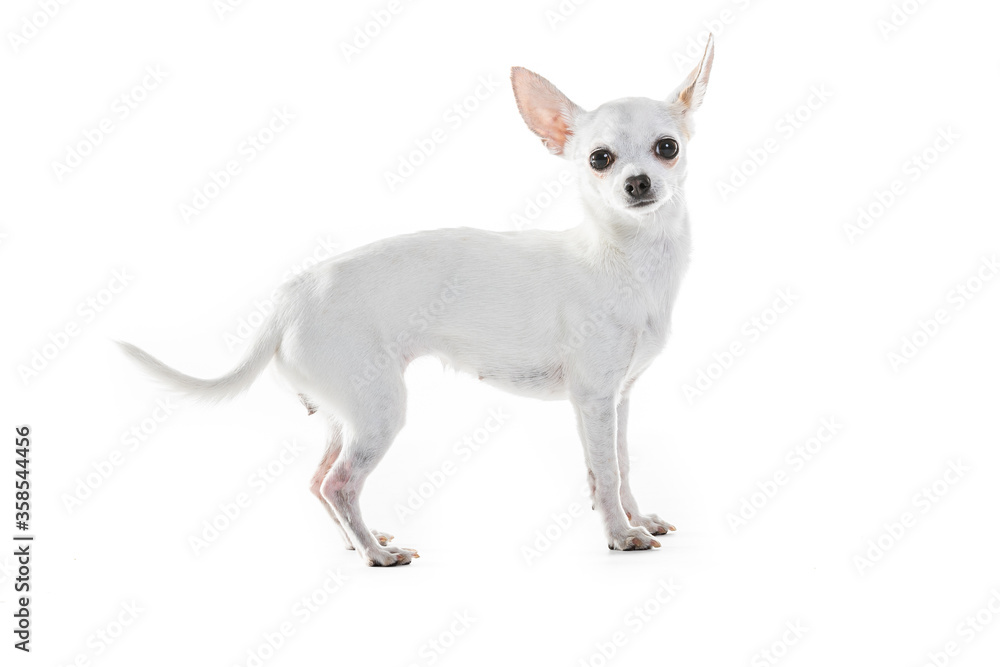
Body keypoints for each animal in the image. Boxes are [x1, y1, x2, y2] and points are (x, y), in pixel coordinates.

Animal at [121, 36, 716, 568]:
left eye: (667, 148)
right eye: (599, 159)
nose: (637, 183)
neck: (627, 258)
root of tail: (291, 297)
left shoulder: (618, 398)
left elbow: (620, 464)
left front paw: (637, 518)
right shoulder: (593, 399)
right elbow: (606, 472)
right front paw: (621, 535)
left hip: (345, 413)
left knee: (317, 480)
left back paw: (355, 541)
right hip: (380, 410)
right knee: (338, 483)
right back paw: (376, 553)